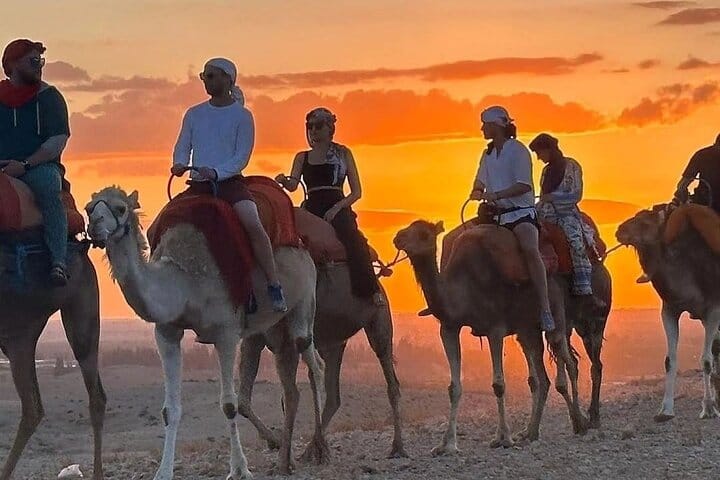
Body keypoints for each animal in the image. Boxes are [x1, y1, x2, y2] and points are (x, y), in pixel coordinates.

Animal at [84, 186, 325, 480]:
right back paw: (284, 459)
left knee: (314, 362)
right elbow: (170, 410)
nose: (94, 225)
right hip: (271, 328)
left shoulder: (226, 332)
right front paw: (163, 472)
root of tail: (302, 246)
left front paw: (239, 469)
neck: (184, 281)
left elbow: (229, 405)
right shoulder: (167, 332)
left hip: (304, 301)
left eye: (120, 208)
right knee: (291, 379)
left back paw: (318, 447)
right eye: (89, 208)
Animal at [237, 263, 406, 462]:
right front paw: (275, 442)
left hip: (378, 321)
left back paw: (397, 447)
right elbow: (243, 401)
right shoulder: (254, 338)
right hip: (333, 341)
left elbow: (289, 395)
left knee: (390, 378)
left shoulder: (285, 339)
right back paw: (313, 448)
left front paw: (281, 448)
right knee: (332, 394)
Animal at [393, 220, 609, 453]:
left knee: (571, 362)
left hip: (562, 319)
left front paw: (503, 438)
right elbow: (454, 387)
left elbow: (499, 385)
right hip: (529, 330)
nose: (398, 238)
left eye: (423, 234)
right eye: (408, 227)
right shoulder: (449, 328)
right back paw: (534, 432)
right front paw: (446, 444)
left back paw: (583, 422)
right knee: (543, 378)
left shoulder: (494, 328)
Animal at [616, 204, 720, 421]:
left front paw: (708, 409)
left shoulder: (714, 309)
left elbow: (706, 360)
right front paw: (665, 410)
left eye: (645, 222)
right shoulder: (670, 309)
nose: (619, 230)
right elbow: (669, 360)